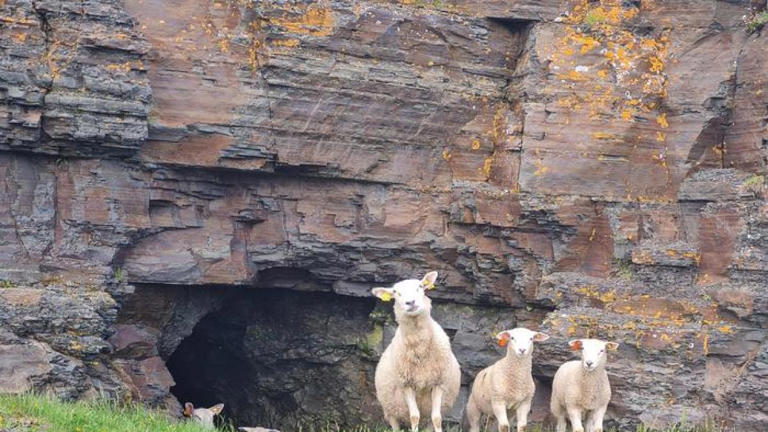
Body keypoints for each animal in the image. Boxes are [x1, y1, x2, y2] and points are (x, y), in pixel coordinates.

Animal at [371, 271, 461, 432]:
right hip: (390, 409)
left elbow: (437, 418)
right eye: (396, 292)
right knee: (396, 423)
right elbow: (414, 416)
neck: (420, 349)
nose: (411, 302)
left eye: (420, 286)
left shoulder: (439, 383)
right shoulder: (406, 384)